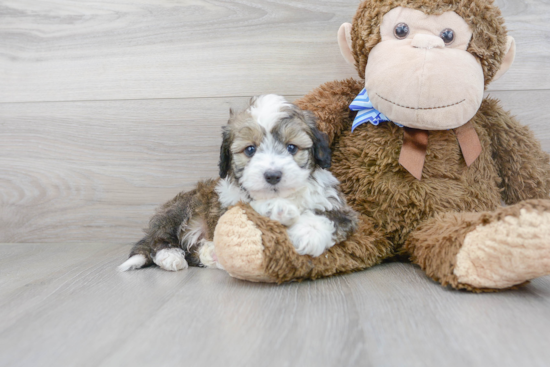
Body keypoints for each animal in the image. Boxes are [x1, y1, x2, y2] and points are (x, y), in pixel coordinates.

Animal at [118, 95, 360, 274]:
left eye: (292, 147)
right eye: (250, 150)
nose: (273, 175)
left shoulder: (340, 207)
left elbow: (329, 218)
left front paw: (309, 234)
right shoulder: (227, 204)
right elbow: (250, 206)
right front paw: (277, 209)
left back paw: (209, 253)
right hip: (179, 209)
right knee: (158, 241)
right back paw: (171, 257)